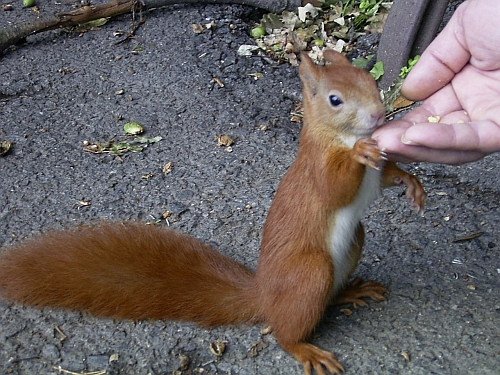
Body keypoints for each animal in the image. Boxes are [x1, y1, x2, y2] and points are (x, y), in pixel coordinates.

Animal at [0, 50, 426, 375]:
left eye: (369, 80)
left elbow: (387, 176)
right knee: (285, 330)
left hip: (353, 243)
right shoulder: (317, 167)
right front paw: (362, 154)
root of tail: (264, 295)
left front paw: (411, 182)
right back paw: (305, 348)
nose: (378, 115)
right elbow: (334, 186)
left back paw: (352, 290)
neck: (344, 136)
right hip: (309, 270)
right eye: (335, 99)